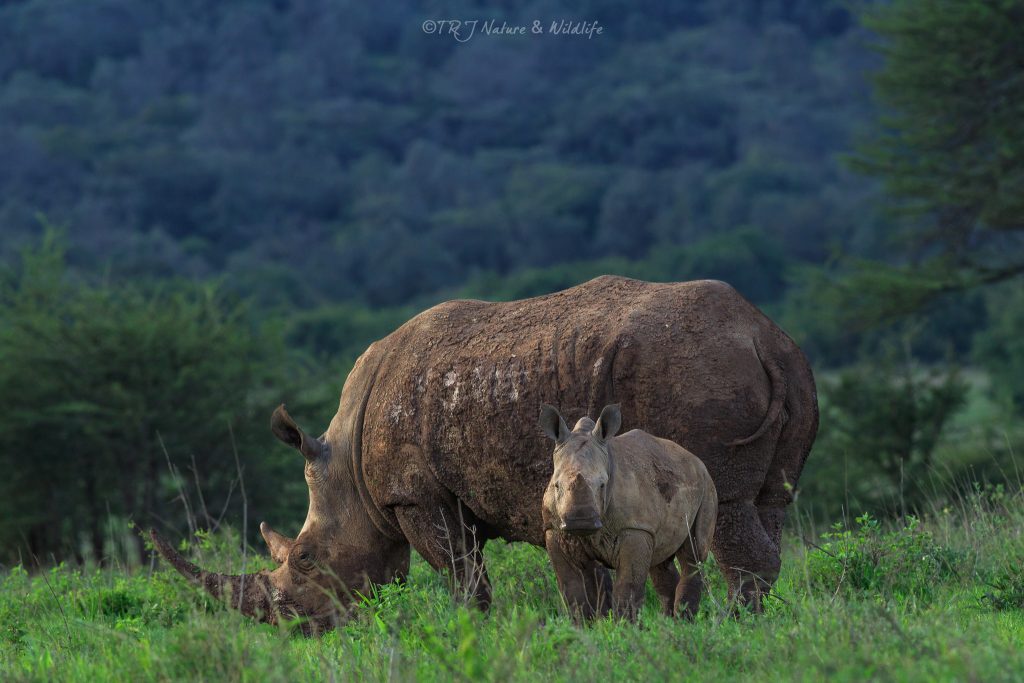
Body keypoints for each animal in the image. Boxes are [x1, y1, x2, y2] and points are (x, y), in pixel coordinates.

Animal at [540, 403, 716, 622]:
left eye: (603, 485)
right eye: (556, 486)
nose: (581, 521)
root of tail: (696, 459)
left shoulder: (635, 528)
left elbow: (628, 586)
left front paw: (625, 626)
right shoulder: (554, 528)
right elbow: (571, 588)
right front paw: (581, 626)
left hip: (707, 485)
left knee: (693, 555)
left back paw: (685, 622)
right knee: (661, 559)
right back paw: (669, 623)